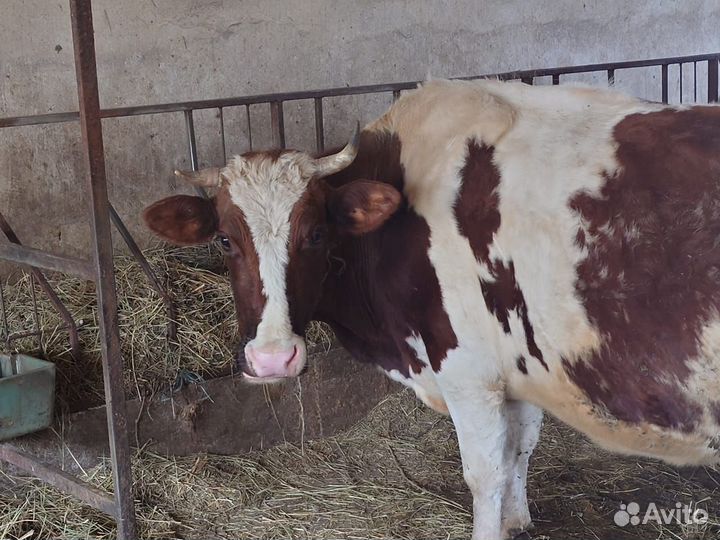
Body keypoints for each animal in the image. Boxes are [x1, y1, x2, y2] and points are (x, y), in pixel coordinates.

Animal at [143, 79, 720, 540]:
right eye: (224, 240)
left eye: (316, 233)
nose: (271, 359)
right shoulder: (519, 366)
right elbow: (522, 448)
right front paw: (519, 522)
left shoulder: (467, 372)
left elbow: (485, 473)